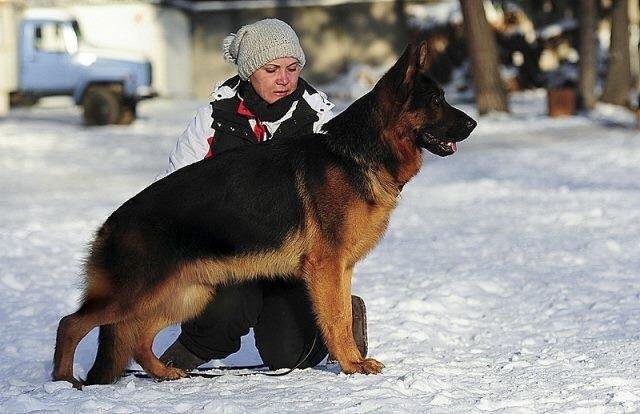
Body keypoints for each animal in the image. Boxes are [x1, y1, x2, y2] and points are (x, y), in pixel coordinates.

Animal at [53, 42, 476, 388]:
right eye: (436, 100)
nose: (473, 123)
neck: (358, 153)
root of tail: (111, 224)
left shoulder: (339, 270)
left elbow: (341, 313)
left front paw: (352, 361)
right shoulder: (327, 267)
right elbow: (337, 319)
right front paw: (352, 366)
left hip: (186, 294)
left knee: (137, 337)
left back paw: (164, 373)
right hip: (137, 294)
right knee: (73, 324)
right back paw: (62, 382)